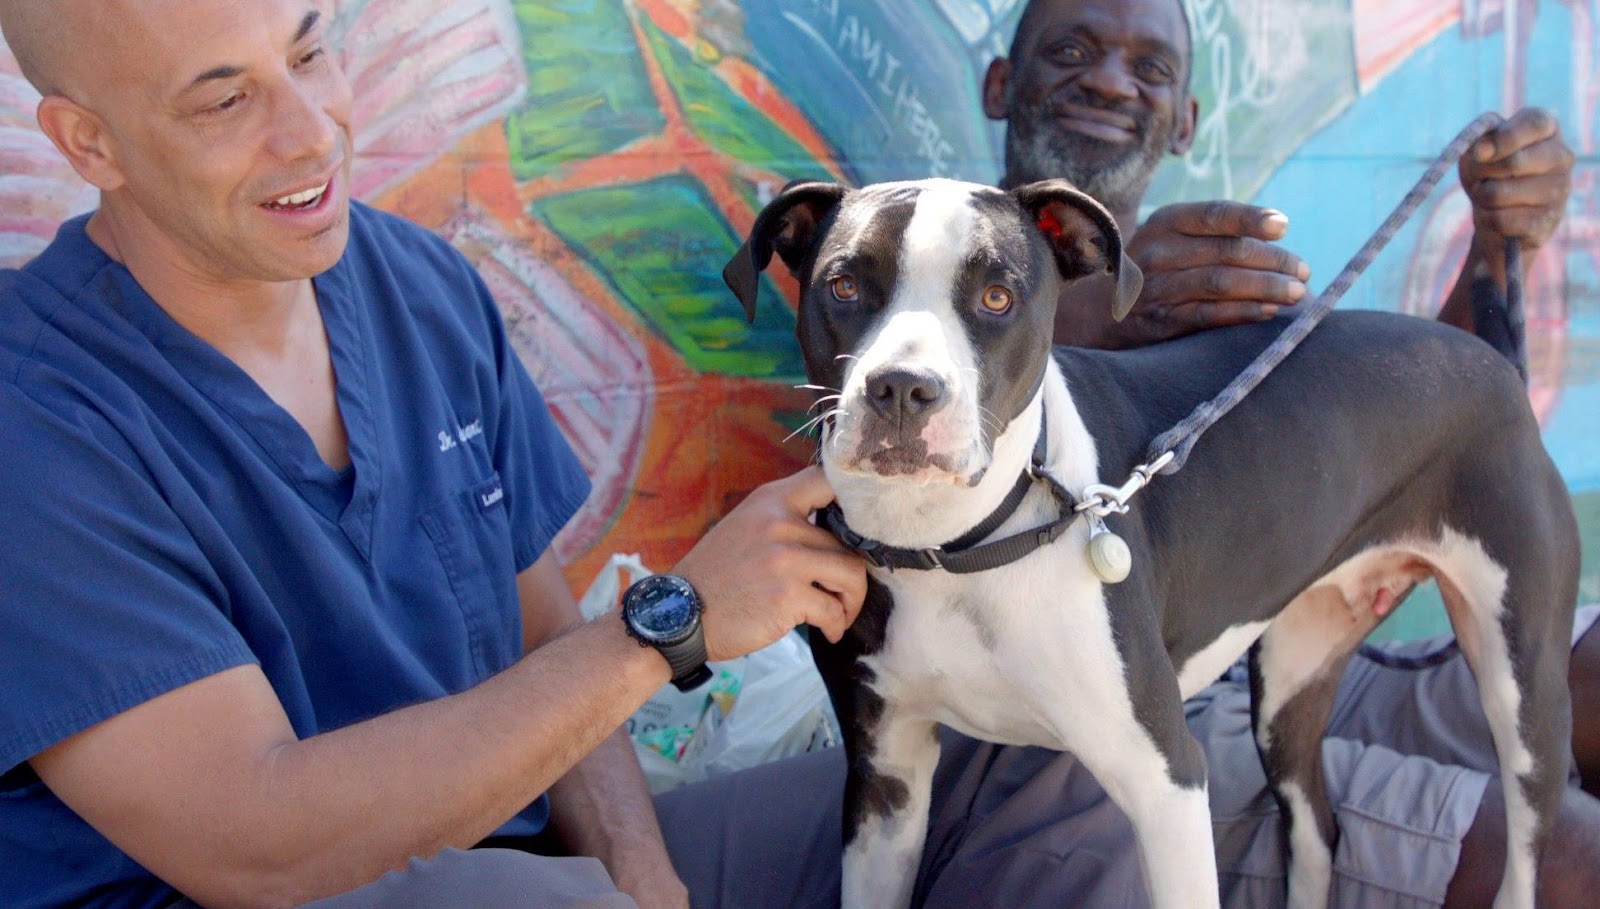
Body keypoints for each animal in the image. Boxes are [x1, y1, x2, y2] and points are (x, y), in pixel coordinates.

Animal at [722, 178, 1579, 909]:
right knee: (1316, 835)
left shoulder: (1166, 779)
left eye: (997, 296)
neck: (953, 545)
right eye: (844, 285)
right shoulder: (884, 781)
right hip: (1290, 686)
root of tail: (1497, 358)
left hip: (1525, 689)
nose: (902, 387)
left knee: (1525, 842)